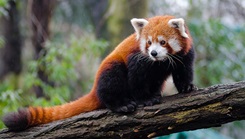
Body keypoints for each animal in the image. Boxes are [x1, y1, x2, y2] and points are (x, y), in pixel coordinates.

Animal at [1, 15, 195, 131]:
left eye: (162, 42)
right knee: (112, 81)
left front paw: (187, 87)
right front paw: (145, 99)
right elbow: (137, 80)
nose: (153, 53)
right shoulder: (138, 58)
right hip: (110, 70)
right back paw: (121, 104)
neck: (159, 62)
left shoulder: (184, 54)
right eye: (148, 43)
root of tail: (94, 87)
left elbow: (183, 71)